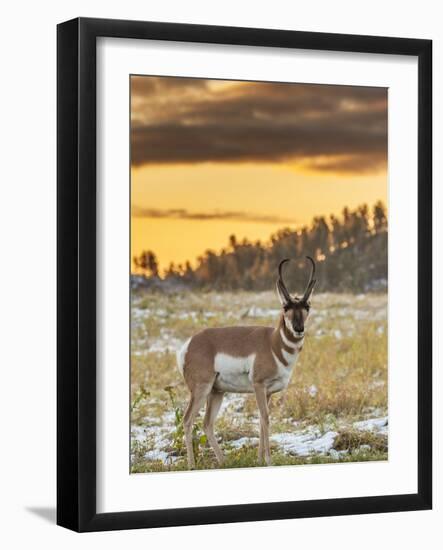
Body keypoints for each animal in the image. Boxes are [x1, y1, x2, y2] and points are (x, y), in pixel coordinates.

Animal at [176, 256, 316, 468]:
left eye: (307, 306)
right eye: (286, 307)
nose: (299, 328)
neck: (273, 343)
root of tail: (189, 343)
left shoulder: (268, 392)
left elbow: (261, 421)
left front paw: (259, 460)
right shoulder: (258, 386)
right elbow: (266, 419)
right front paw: (268, 461)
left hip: (216, 392)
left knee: (207, 423)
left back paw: (223, 461)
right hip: (201, 389)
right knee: (187, 419)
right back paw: (192, 465)